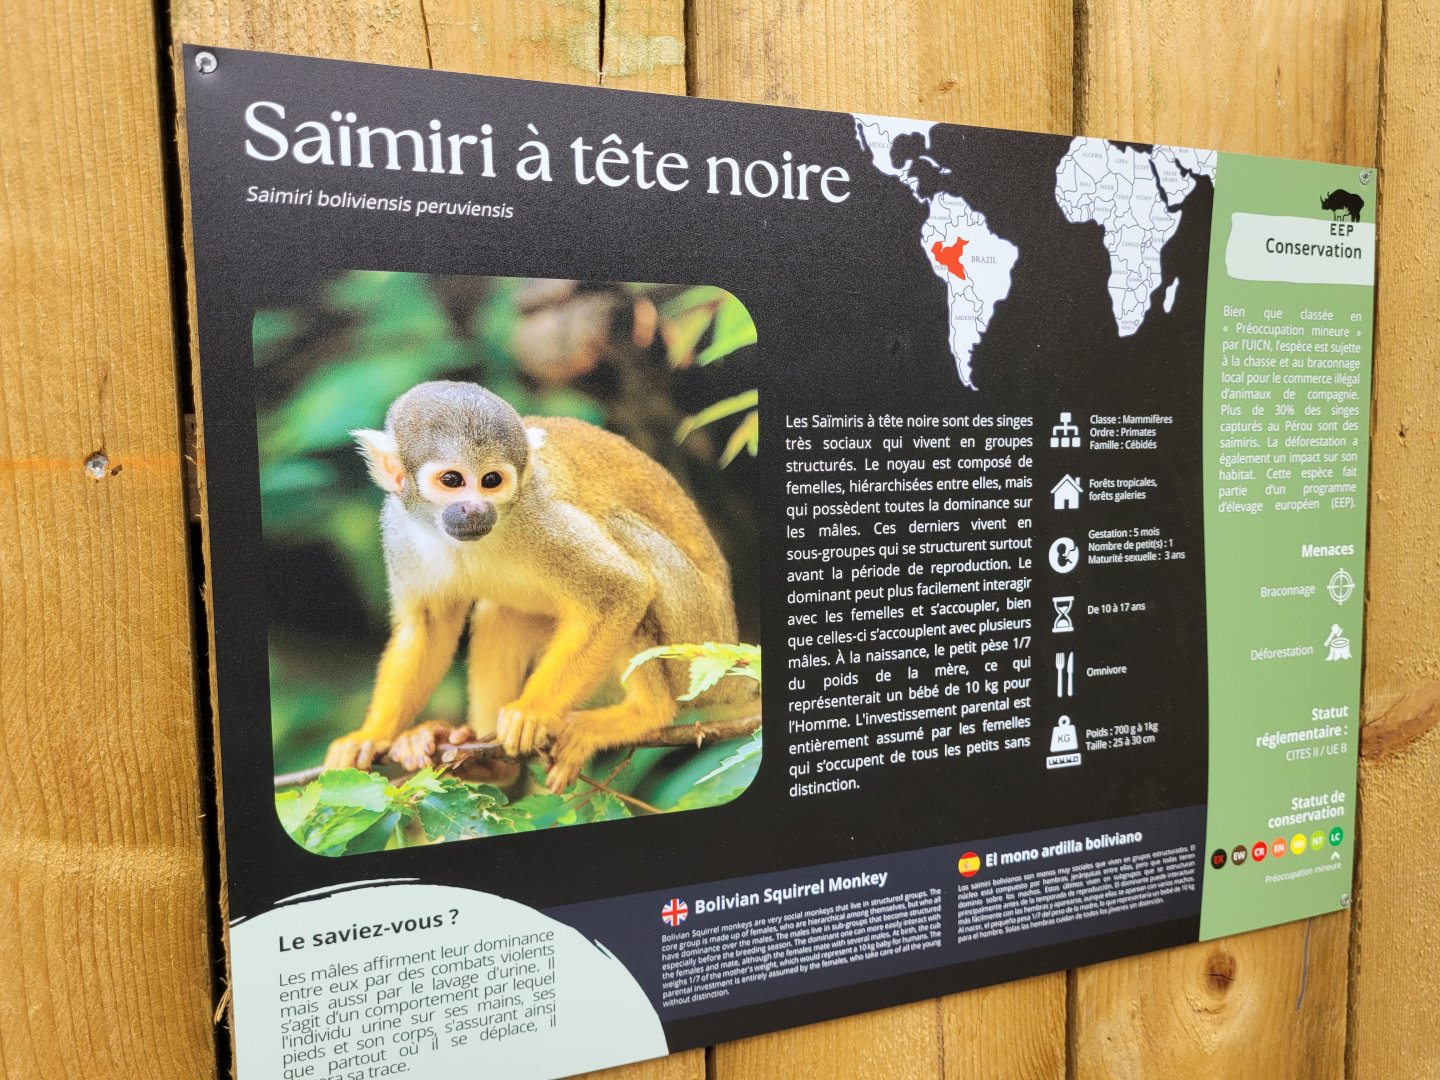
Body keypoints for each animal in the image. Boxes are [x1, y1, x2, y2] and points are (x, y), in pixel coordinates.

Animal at [321, 380, 754, 793]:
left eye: (491, 480)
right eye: (452, 480)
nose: (475, 509)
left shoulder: (541, 517)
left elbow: (620, 590)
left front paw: (533, 712)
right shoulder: (398, 528)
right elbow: (426, 626)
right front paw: (372, 735)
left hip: (694, 641)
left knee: (620, 535)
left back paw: (647, 712)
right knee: (500, 614)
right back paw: (486, 760)